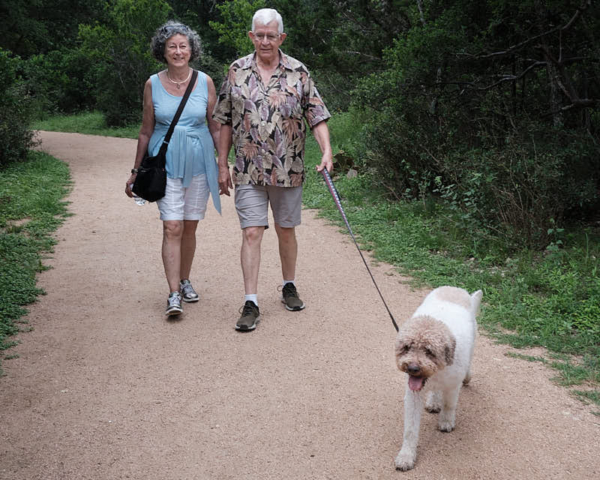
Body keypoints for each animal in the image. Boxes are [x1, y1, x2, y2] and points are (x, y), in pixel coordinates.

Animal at [394, 286, 482, 470]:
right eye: (407, 347)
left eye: (429, 351)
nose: (412, 368)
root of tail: (454, 287)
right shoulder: (413, 394)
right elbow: (410, 429)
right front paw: (406, 456)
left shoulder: (453, 385)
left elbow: (449, 405)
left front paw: (446, 422)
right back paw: (434, 401)